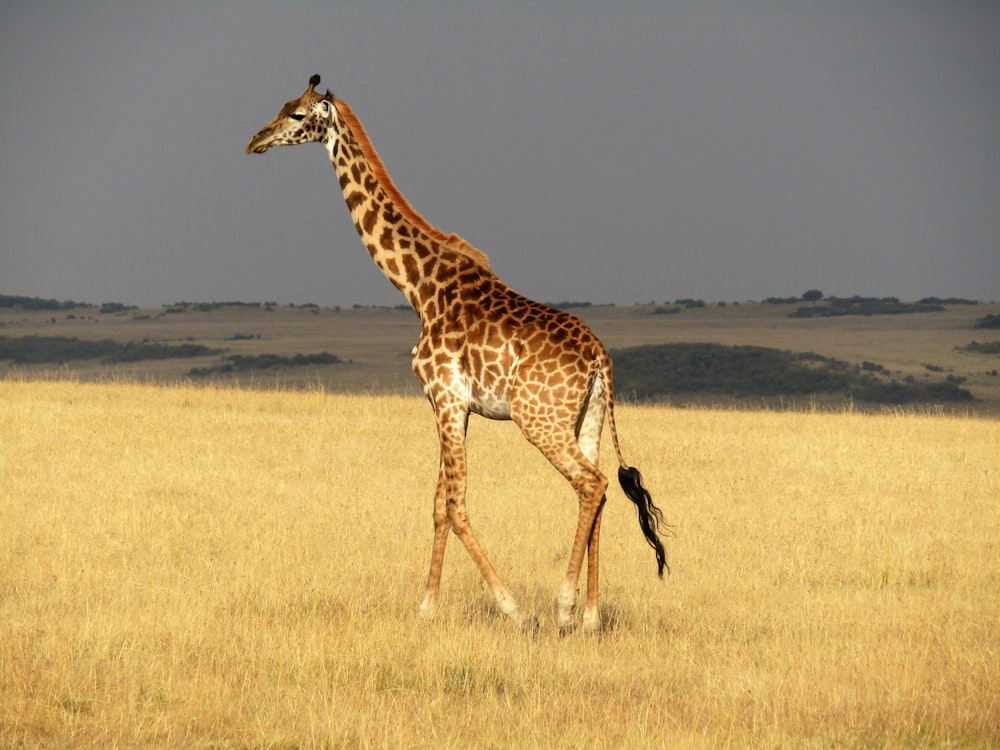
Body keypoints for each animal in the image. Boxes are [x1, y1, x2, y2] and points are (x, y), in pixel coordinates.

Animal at [246, 75, 668, 636]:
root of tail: (601, 359)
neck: (417, 286)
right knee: (597, 492)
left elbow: (456, 503)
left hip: (540, 419)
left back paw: (562, 607)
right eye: (281, 106)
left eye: (297, 115)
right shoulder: (451, 404)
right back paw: (591, 617)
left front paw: (512, 608)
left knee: (590, 483)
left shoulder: (445, 396)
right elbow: (437, 504)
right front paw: (426, 607)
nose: (255, 141)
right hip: (589, 419)